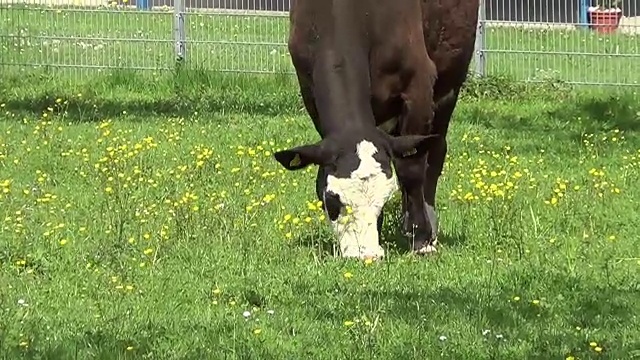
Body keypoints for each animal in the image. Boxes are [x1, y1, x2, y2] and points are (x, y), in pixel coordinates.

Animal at [272, 0, 478, 258]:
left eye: (384, 199)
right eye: (332, 200)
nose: (367, 254)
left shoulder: (418, 84)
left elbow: (411, 169)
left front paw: (422, 238)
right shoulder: (308, 87)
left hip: (449, 87)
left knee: (433, 156)